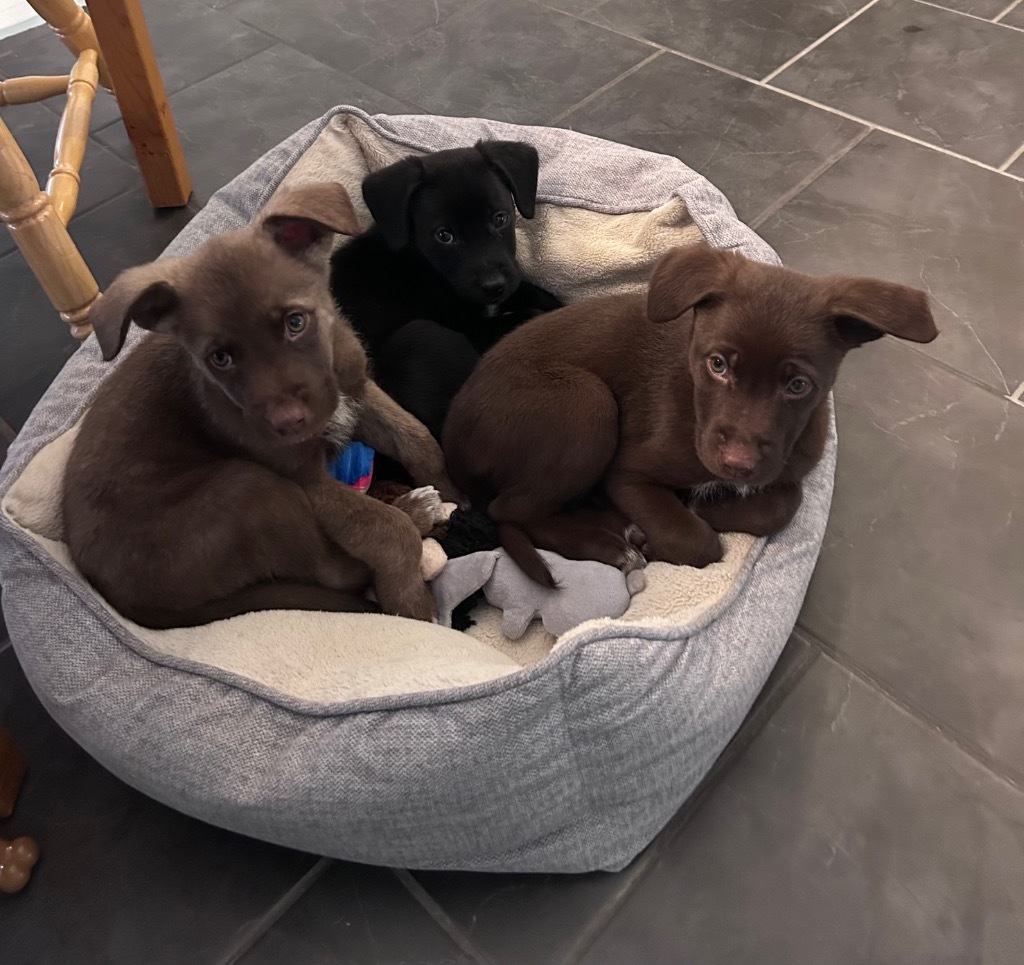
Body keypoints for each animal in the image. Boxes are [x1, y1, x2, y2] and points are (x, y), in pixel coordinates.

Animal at [65, 182, 460, 631]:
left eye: (295, 322)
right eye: (219, 358)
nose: (288, 423)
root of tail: (127, 605)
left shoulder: (356, 391)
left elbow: (419, 439)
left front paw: (456, 494)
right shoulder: (304, 476)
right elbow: (384, 530)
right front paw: (409, 602)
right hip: (249, 488)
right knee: (335, 573)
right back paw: (413, 510)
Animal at [331, 140, 565, 442]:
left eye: (500, 218)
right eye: (444, 235)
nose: (494, 286)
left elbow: (534, 292)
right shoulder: (473, 328)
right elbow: (525, 315)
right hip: (419, 335)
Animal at [440, 245, 937, 585]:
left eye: (798, 385)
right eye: (717, 365)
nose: (737, 464)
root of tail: (451, 439)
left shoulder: (789, 466)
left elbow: (784, 503)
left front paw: (709, 504)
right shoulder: (628, 474)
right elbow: (697, 541)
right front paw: (687, 517)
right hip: (586, 404)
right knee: (511, 509)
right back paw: (609, 543)